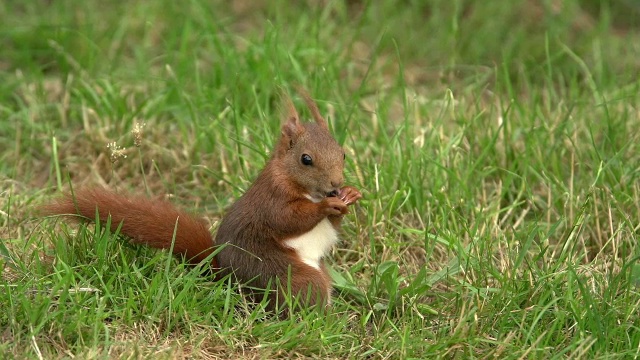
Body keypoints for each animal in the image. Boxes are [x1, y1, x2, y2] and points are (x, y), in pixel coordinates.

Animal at [42, 92, 362, 310]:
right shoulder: (272, 198)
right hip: (285, 274)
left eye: (344, 153)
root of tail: (227, 278)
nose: (335, 184)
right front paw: (326, 206)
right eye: (306, 159)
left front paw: (349, 196)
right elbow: (288, 219)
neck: (305, 189)